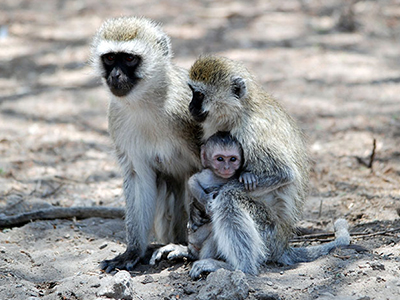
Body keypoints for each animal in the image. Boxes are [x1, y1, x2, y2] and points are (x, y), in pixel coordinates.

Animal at [91, 17, 203, 274]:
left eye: (129, 59)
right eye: (109, 58)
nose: (115, 76)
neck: (145, 101)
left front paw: (190, 251)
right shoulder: (116, 118)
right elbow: (138, 177)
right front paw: (132, 252)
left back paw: (184, 247)